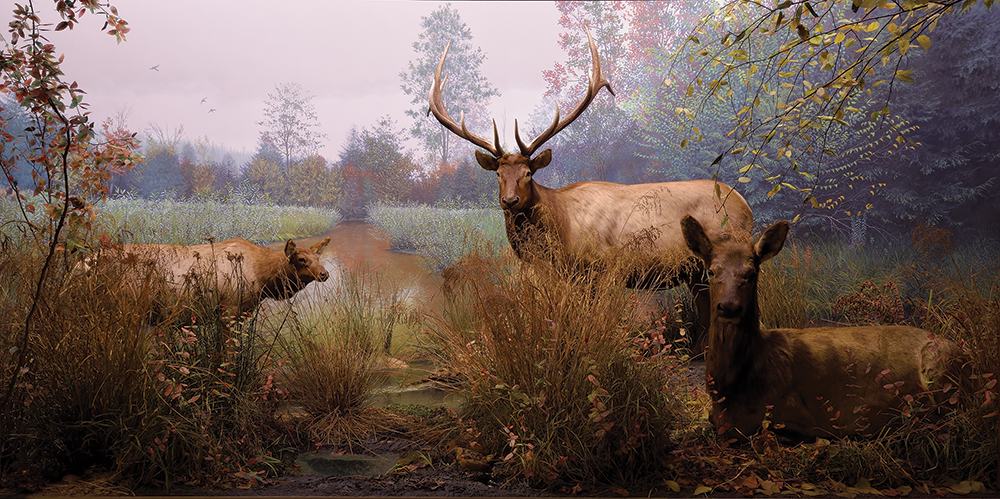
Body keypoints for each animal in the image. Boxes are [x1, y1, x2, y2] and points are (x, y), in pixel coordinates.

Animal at [427, 28, 754, 343]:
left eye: (528, 173)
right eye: (498, 174)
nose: (509, 201)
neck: (561, 233)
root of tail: (745, 206)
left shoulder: (606, 267)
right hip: (696, 273)